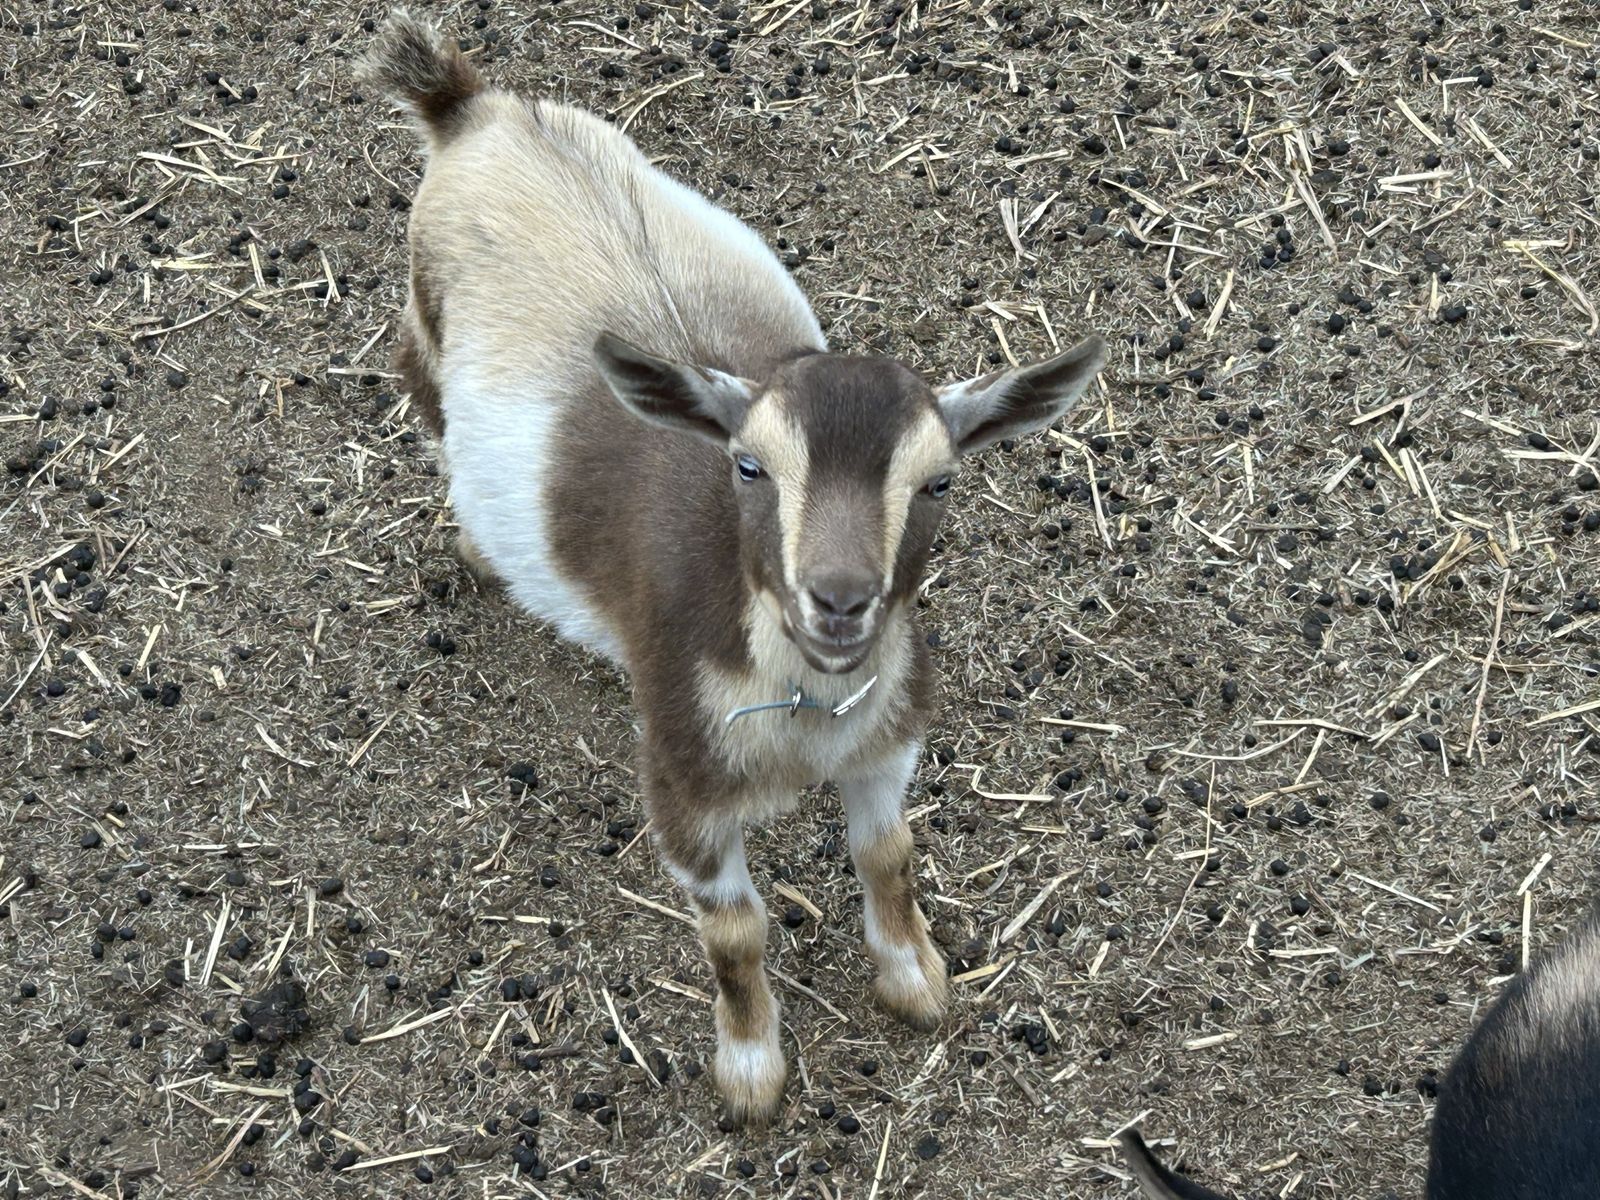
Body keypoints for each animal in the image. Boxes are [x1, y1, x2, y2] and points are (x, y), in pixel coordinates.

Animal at [362, 10, 1105, 1124]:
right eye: (748, 466)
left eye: (938, 481)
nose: (838, 602)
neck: (805, 710)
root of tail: (468, 107)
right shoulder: (684, 789)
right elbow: (735, 933)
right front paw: (751, 1074)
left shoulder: (885, 746)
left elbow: (887, 855)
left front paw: (914, 980)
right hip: (423, 319)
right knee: (421, 400)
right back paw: (471, 543)